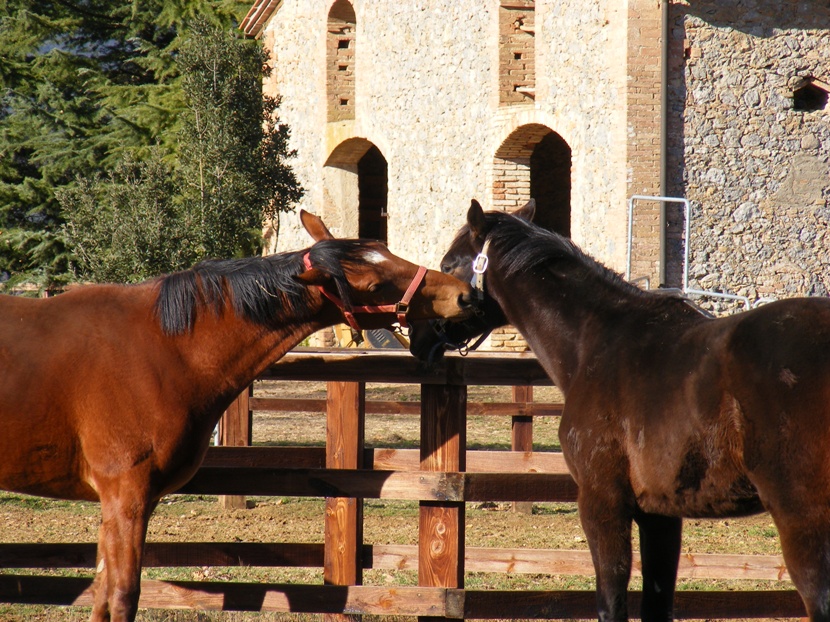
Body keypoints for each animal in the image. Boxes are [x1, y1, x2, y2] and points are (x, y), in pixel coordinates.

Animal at [0, 210, 473, 622]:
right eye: (375, 285)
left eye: (383, 248)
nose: (464, 294)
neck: (160, 347)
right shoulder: (125, 498)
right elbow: (121, 596)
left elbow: (100, 597)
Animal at [411, 199, 830, 622]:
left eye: (448, 265)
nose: (417, 336)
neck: (597, 341)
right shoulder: (660, 513)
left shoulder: (602, 501)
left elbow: (611, 600)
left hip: (802, 520)